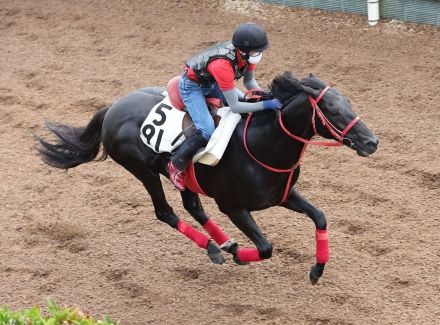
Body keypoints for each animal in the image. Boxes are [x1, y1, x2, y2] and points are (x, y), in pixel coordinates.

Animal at [37, 71, 378, 284]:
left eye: (349, 103)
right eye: (332, 109)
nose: (372, 142)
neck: (261, 143)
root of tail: (111, 108)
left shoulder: (282, 195)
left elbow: (320, 216)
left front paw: (317, 270)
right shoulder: (234, 207)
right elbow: (266, 248)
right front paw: (241, 255)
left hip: (183, 178)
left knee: (193, 207)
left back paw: (222, 243)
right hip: (143, 171)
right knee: (165, 212)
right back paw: (217, 248)